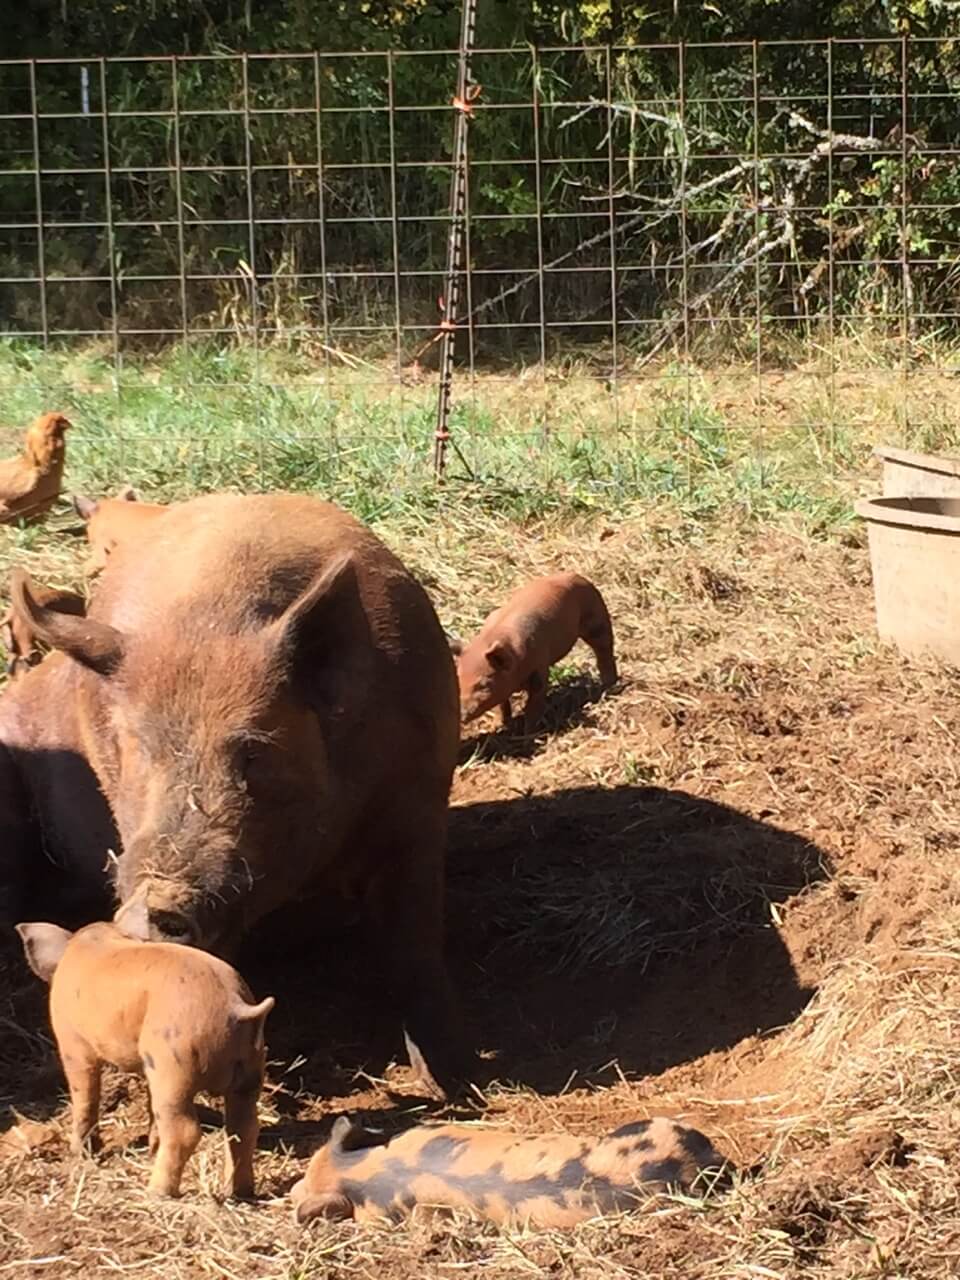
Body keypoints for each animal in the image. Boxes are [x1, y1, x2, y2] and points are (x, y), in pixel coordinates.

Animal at [0, 493, 471, 1097]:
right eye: (137, 745)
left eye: (254, 751)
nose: (156, 903)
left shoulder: (419, 804)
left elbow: (415, 940)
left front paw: (454, 1081)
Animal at [16, 890, 274, 1198]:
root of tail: (237, 1007)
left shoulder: (73, 1043)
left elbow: (85, 1096)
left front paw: (80, 1154)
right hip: (249, 1065)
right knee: (243, 1126)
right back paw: (239, 1192)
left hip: (173, 1064)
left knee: (185, 1129)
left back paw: (156, 1192)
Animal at [456, 573, 617, 733]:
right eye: (458, 681)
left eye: (484, 684)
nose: (461, 714)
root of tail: (575, 575)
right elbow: (501, 706)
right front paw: (496, 726)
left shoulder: (539, 666)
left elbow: (534, 703)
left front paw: (529, 732)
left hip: (596, 616)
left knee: (604, 649)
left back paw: (608, 685)